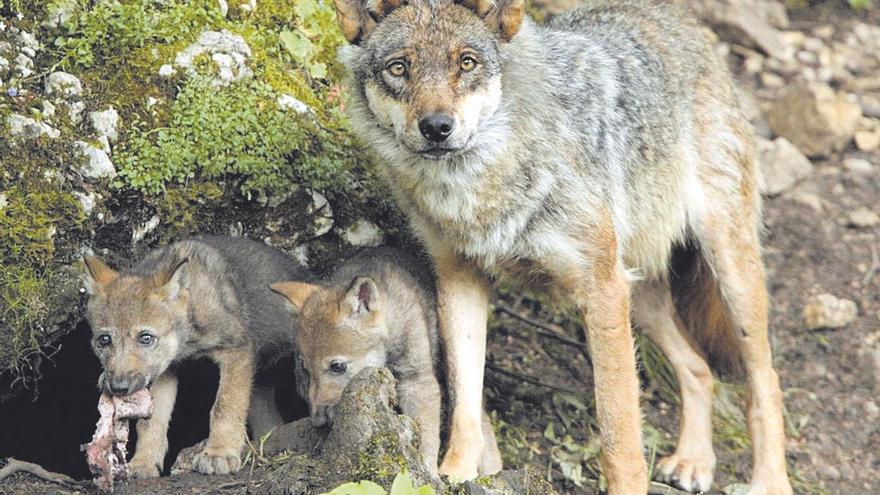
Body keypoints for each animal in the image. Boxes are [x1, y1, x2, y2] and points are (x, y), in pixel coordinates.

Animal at [334, 0, 796, 494]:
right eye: (399, 68)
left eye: (467, 63)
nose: (437, 127)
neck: (479, 187)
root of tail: (682, 20)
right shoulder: (459, 278)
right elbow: (465, 401)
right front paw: (454, 473)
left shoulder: (601, 291)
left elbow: (618, 433)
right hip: (640, 298)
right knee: (698, 367)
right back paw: (694, 460)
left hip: (726, 274)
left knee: (765, 380)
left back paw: (768, 480)